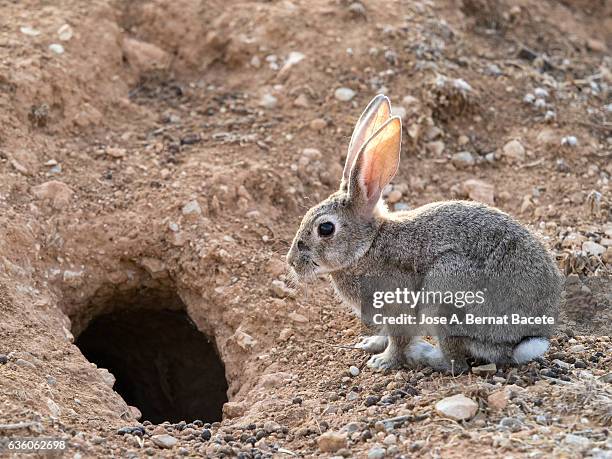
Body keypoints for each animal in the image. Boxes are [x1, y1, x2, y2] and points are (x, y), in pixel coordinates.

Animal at [286, 94, 564, 374]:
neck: (367, 247)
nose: (291, 262)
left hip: (446, 289)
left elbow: (398, 340)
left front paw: (382, 361)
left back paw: (424, 355)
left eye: (325, 228)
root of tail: (523, 340)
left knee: (457, 363)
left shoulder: (397, 306)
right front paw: (370, 344)